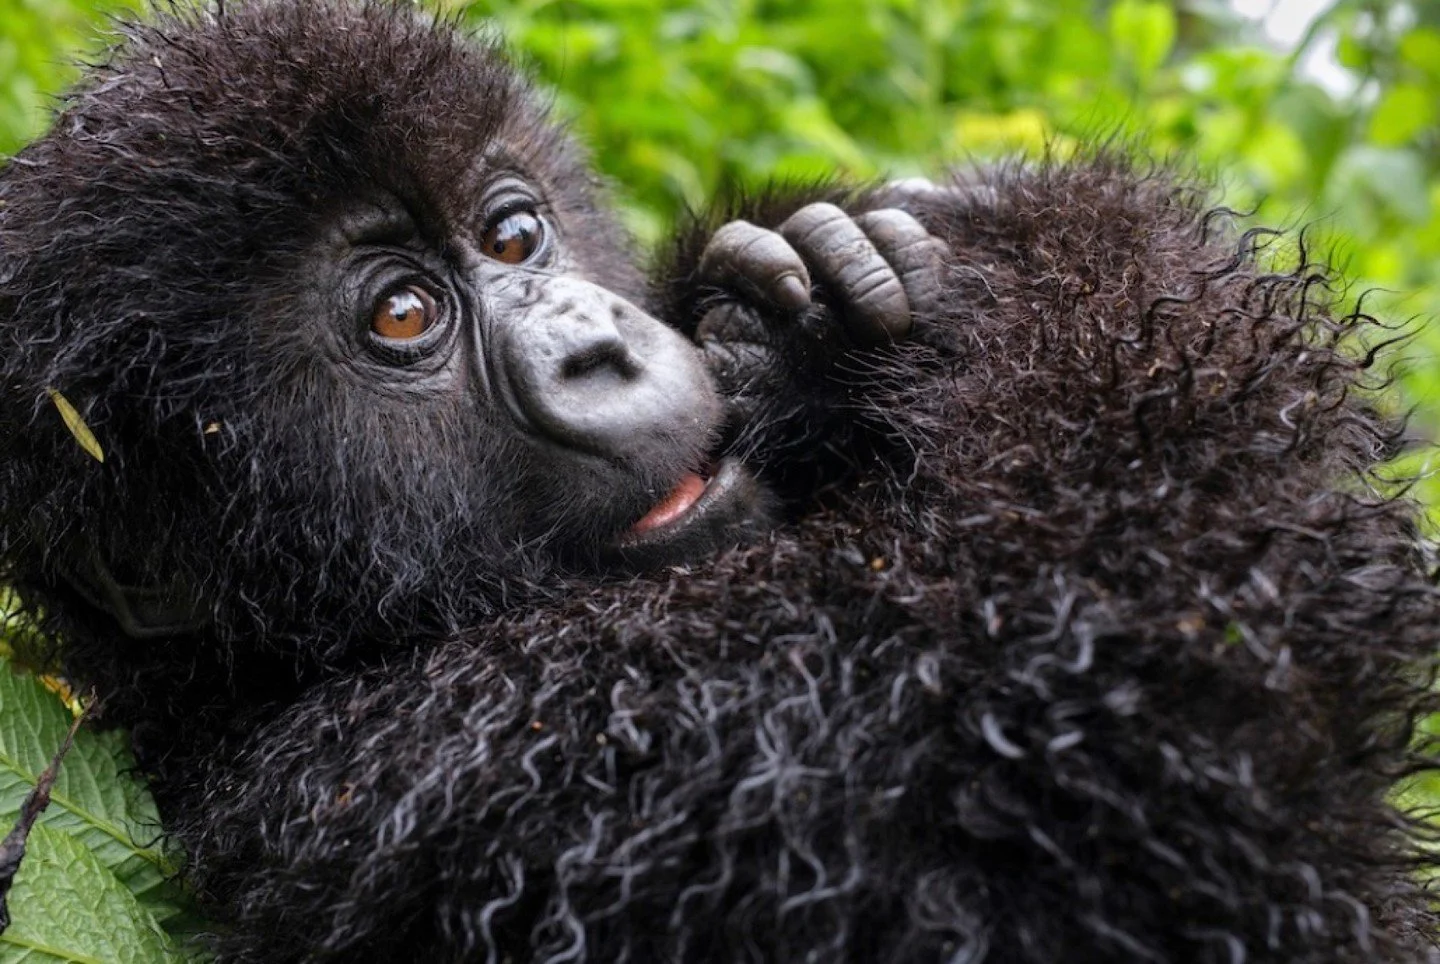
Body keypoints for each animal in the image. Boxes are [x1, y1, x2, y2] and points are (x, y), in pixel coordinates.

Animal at [1, 2, 1437, 962]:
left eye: (512, 234)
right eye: (403, 317)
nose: (599, 346)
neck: (258, 681)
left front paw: (809, 305)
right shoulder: (491, 758)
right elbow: (1124, 646)